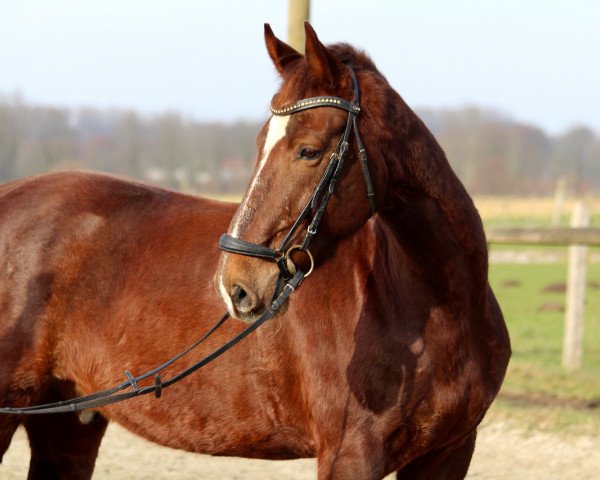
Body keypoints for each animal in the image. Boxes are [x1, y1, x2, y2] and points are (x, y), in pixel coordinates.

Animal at [0, 22, 510, 480]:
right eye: (261, 142)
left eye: (308, 150)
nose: (235, 285)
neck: (434, 305)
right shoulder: (350, 455)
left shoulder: (448, 454)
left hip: (68, 421)